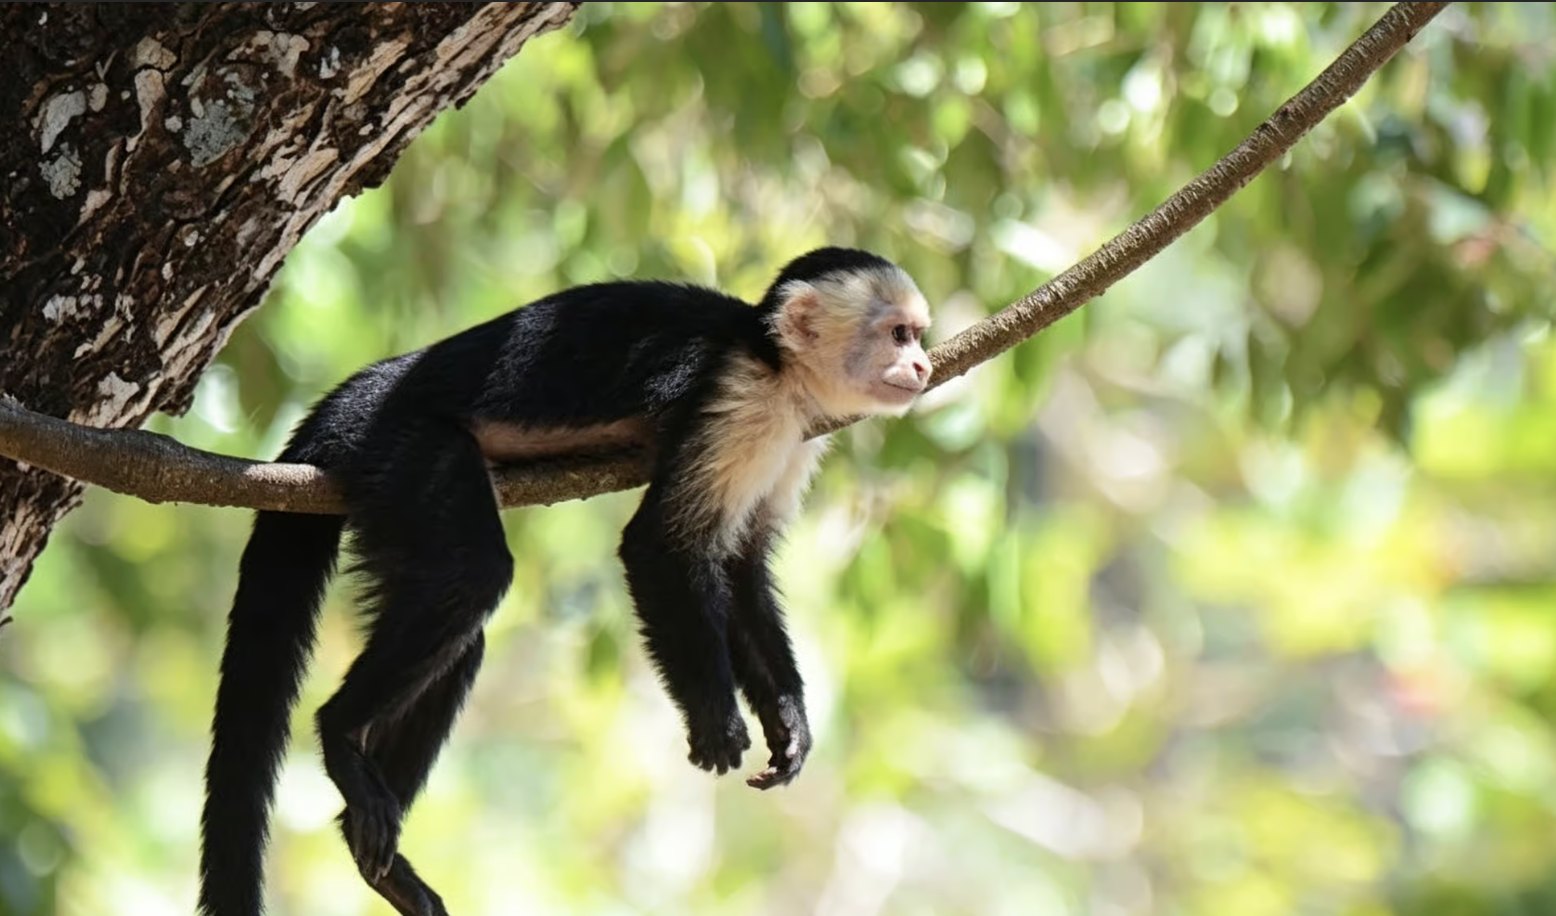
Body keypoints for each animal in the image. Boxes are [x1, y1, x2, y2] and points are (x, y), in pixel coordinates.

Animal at [195, 247, 934, 916]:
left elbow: (742, 564)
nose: (925, 365)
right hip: (401, 442)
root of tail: (364, 391)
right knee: (474, 575)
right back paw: (341, 735)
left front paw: (788, 723)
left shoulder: (799, 431)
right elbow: (661, 546)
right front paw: (716, 719)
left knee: (461, 633)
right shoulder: (741, 400)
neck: (778, 364)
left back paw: (372, 849)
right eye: (899, 333)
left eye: (918, 335)